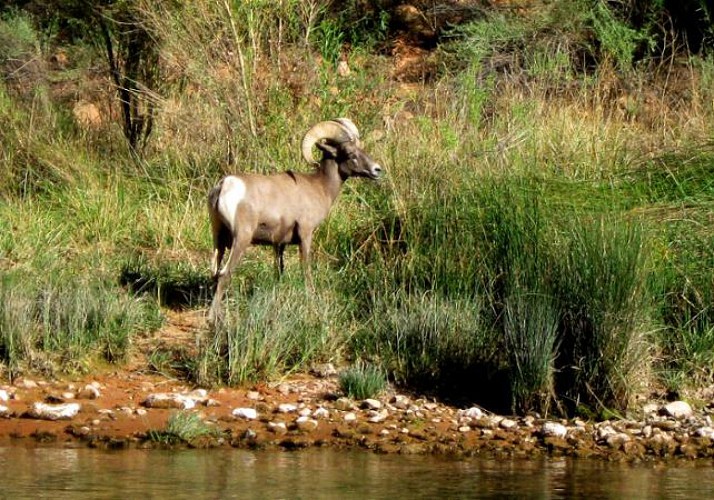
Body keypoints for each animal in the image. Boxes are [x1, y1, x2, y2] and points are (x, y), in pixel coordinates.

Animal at [207, 118, 382, 320]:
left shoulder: (279, 243)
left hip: (218, 238)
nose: (377, 170)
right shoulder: (305, 234)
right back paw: (213, 318)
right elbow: (305, 269)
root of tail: (224, 186)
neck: (319, 187)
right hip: (241, 239)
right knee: (224, 273)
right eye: (350, 153)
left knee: (215, 271)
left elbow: (279, 271)